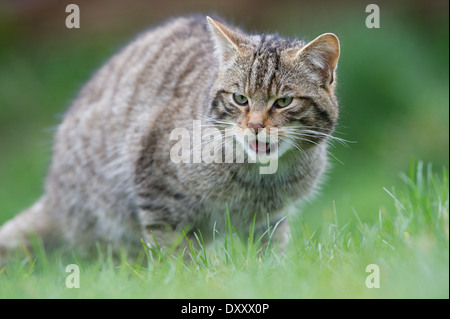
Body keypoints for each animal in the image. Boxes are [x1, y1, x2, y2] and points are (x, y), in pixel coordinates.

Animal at [0, 15, 340, 264]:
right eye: (240, 98)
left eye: (283, 102)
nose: (255, 126)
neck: (261, 178)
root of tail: (54, 195)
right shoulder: (158, 194)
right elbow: (175, 256)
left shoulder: (269, 218)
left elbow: (269, 254)